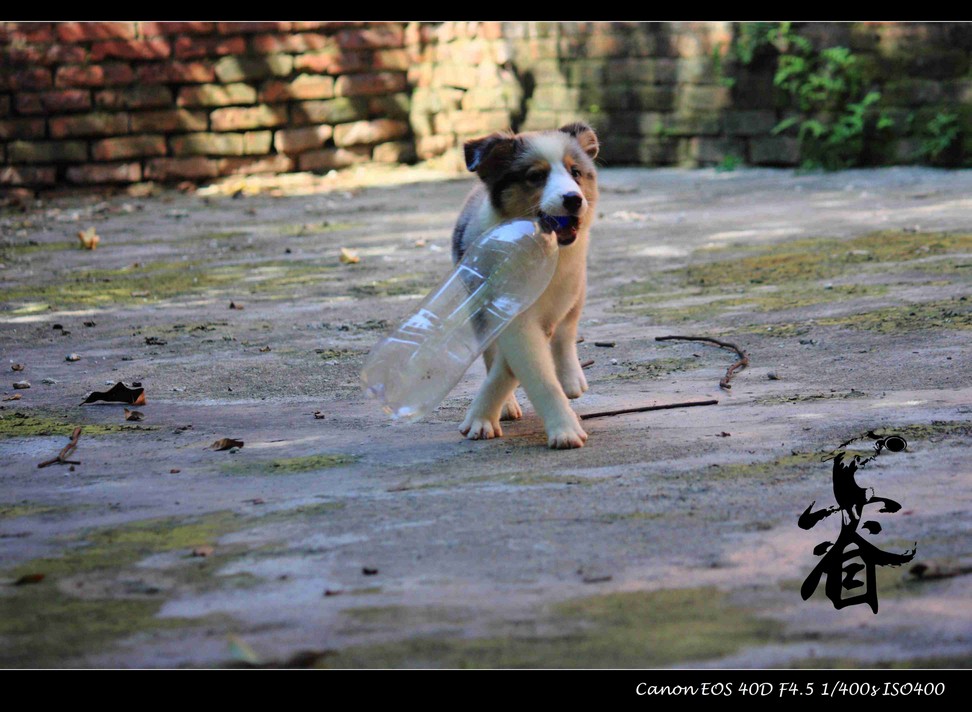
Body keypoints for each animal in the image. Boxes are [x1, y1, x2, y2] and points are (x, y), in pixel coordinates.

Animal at [451, 122, 599, 449]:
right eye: (536, 177)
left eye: (576, 172)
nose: (574, 199)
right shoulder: (509, 314)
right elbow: (529, 372)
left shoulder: (553, 307)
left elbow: (521, 366)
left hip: (577, 289)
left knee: (567, 331)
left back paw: (571, 379)